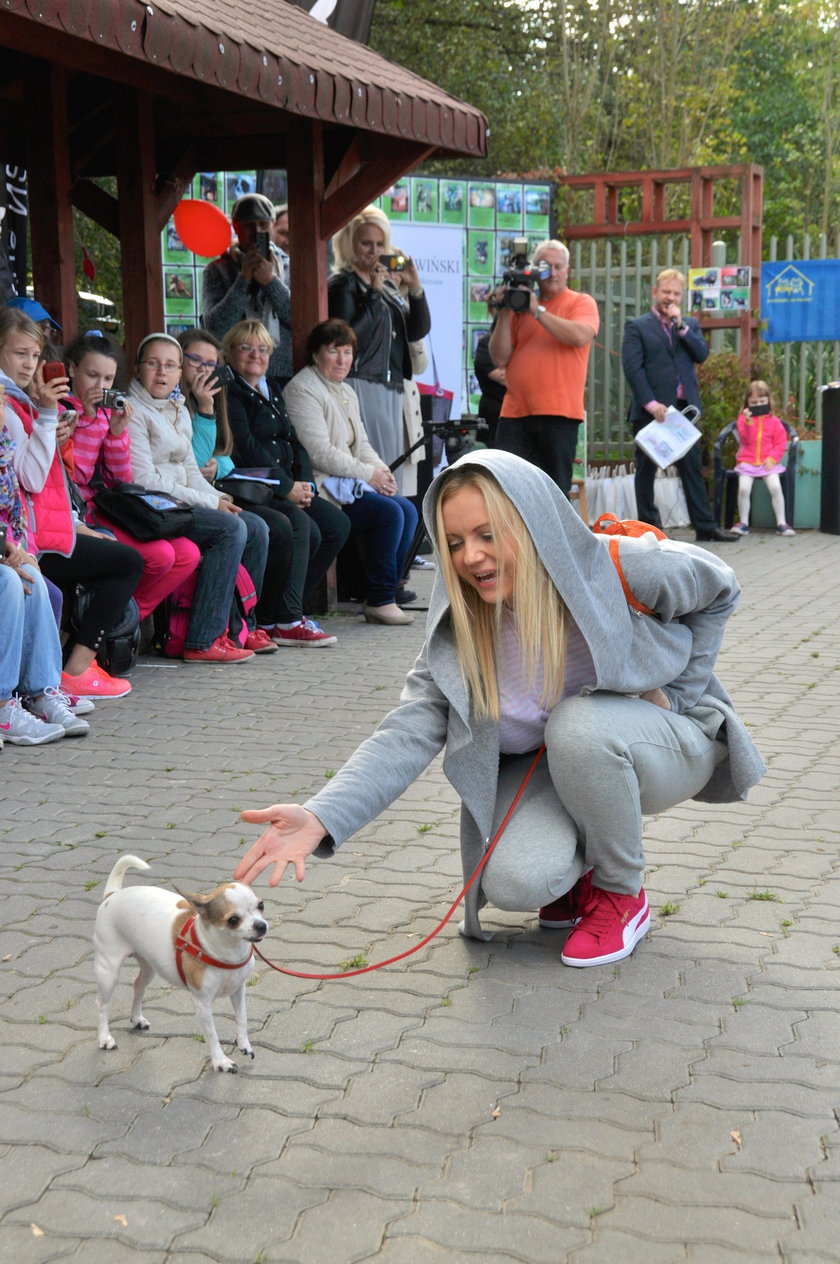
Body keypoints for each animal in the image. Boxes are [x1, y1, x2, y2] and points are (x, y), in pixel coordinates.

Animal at [94, 854, 266, 1071]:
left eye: (261, 905)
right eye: (233, 920)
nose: (261, 926)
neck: (226, 951)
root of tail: (112, 895)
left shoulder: (238, 990)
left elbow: (242, 1018)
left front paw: (244, 1044)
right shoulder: (202, 1004)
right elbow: (212, 1034)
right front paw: (220, 1061)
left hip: (149, 966)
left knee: (138, 986)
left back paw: (137, 1018)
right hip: (108, 971)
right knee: (102, 1004)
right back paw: (105, 1038)